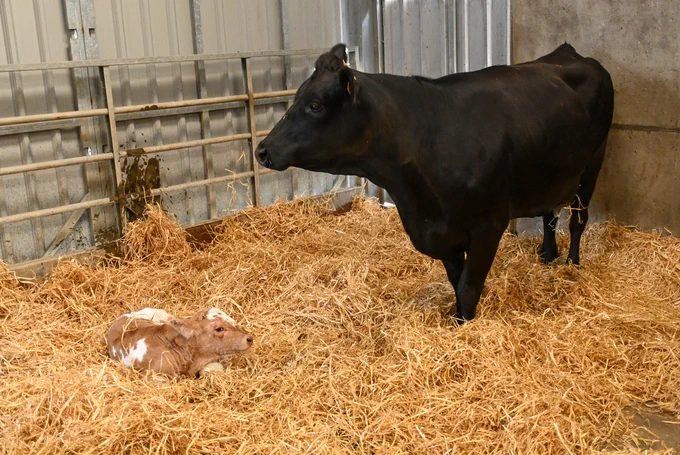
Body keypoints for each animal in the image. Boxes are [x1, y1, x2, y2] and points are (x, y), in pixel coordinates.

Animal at [255, 43, 615, 323]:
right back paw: (547, 254)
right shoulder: (440, 232)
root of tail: (569, 53)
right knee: (549, 214)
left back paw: (572, 264)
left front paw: (464, 325)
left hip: (594, 162)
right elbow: (457, 281)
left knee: (578, 220)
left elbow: (469, 287)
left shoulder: (488, 226)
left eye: (314, 105)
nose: (262, 150)